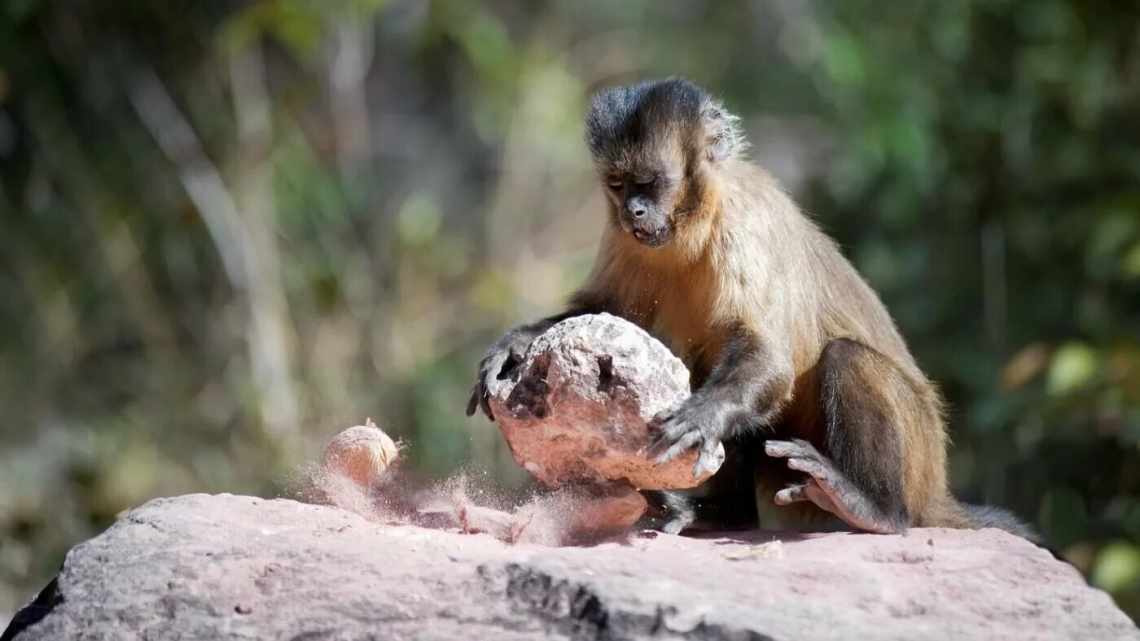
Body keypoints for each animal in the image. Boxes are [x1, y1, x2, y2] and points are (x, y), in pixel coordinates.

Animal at [462, 77, 1035, 536]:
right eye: (619, 186)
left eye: (649, 184)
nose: (635, 211)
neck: (695, 224)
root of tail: (936, 490)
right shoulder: (623, 238)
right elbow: (607, 311)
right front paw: (515, 345)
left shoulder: (742, 224)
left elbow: (769, 356)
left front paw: (702, 415)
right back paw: (722, 517)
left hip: (920, 456)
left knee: (845, 357)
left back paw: (873, 508)